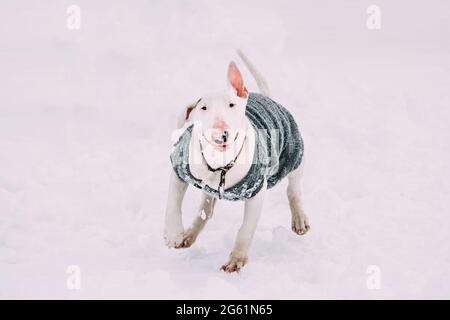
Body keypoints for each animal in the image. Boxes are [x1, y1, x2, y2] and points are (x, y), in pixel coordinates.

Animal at [164, 50, 310, 272]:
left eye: (231, 104)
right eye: (203, 107)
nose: (221, 132)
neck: (220, 165)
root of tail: (267, 97)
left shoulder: (256, 191)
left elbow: (246, 229)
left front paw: (236, 260)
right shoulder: (179, 169)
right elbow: (173, 204)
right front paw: (173, 235)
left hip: (294, 154)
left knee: (293, 190)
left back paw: (299, 219)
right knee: (206, 210)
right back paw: (188, 235)